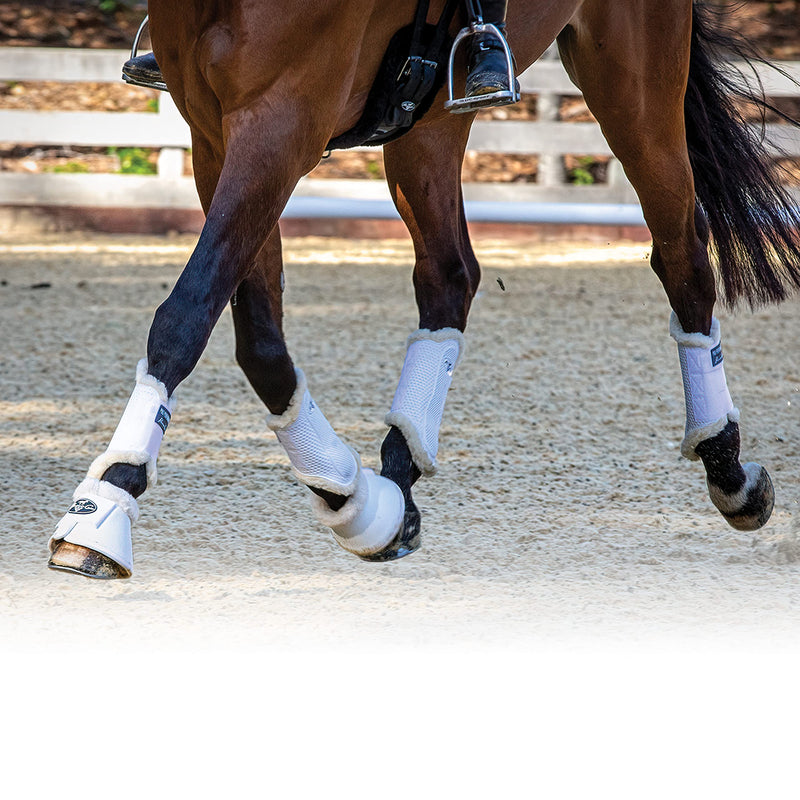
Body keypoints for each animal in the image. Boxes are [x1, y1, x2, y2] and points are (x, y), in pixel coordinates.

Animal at [49, 0, 800, 579]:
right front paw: (353, 497)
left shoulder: (280, 121)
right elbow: (257, 338)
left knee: (683, 254)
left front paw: (103, 506)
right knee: (448, 276)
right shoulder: (215, 131)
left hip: (633, 81)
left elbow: (186, 315)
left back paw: (729, 470)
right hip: (432, 113)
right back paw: (395, 486)